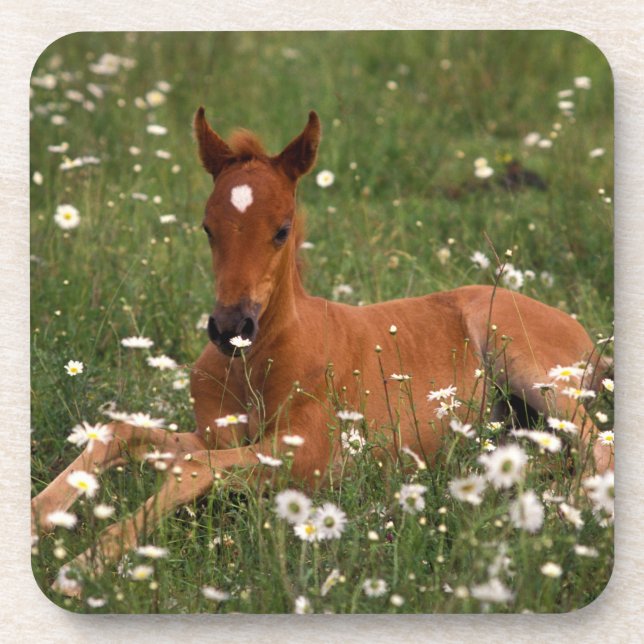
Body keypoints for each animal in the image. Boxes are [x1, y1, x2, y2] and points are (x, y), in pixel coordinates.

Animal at [31, 108, 613, 591]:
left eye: (282, 229)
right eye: (207, 227)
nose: (230, 327)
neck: (256, 365)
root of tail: (585, 336)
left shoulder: (307, 457)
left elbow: (192, 468)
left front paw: (84, 564)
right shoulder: (214, 433)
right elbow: (122, 434)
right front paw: (41, 514)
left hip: (527, 364)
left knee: (596, 448)